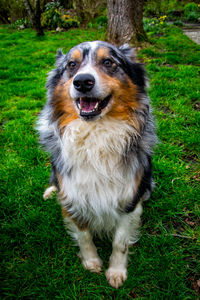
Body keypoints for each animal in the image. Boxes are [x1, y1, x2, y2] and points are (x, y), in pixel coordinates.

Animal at [36, 40, 157, 288]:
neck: (95, 134)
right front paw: (91, 261)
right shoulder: (73, 195)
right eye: (71, 65)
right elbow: (83, 235)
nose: (82, 81)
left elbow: (120, 241)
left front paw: (116, 272)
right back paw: (51, 191)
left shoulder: (129, 198)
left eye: (109, 62)